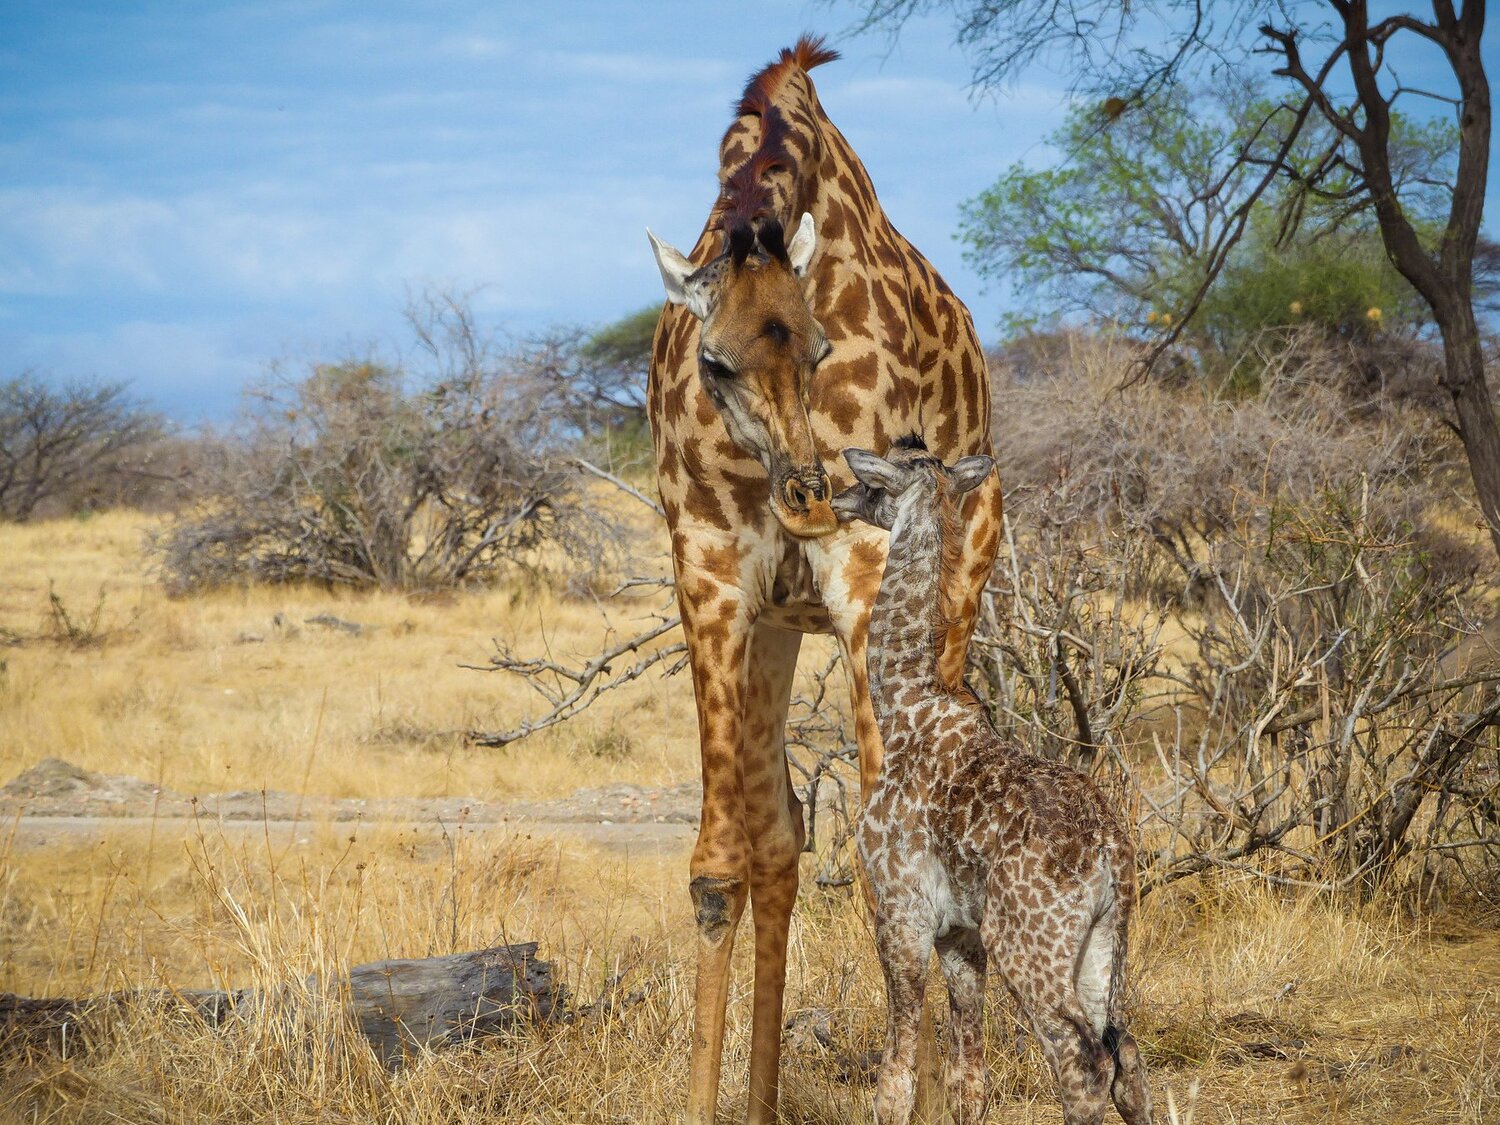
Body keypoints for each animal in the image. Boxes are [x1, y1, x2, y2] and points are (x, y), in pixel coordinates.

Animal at [645, 36, 1004, 1124]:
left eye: (817, 348)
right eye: (716, 363)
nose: (810, 493)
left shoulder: (866, 563)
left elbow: (893, 868)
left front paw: (912, 1091)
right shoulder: (711, 569)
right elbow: (730, 857)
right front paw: (718, 1098)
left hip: (961, 578)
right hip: (779, 624)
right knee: (782, 835)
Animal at [832, 439, 1153, 1125]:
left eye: (874, 479)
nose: (838, 493)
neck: (905, 701)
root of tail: (1111, 853)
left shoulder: (900, 908)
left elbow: (897, 1075)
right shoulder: (961, 934)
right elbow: (967, 1080)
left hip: (1029, 942)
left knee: (1083, 1061)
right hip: (1105, 939)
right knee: (1127, 1053)